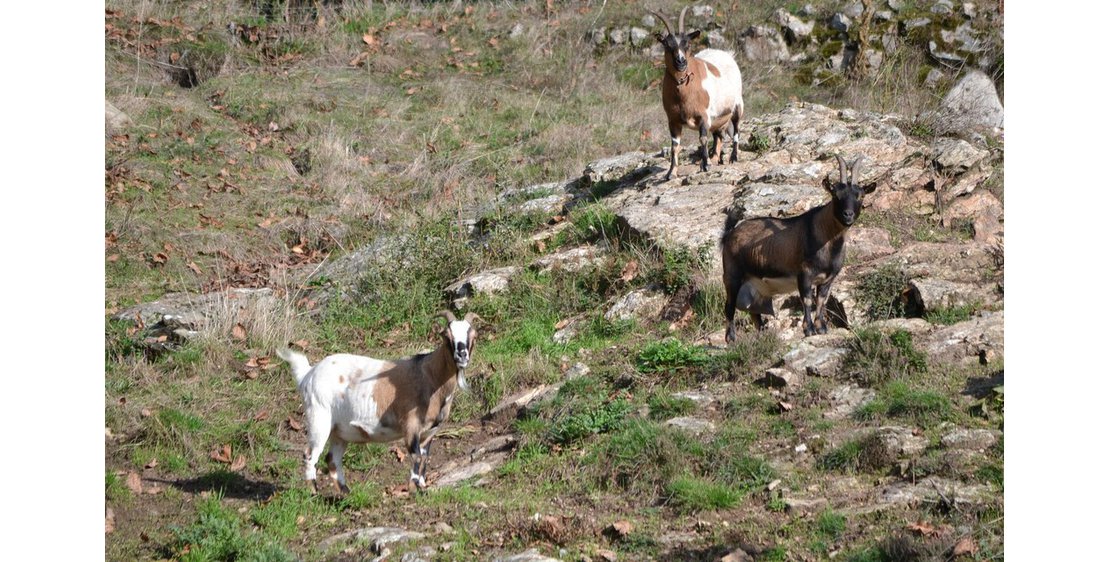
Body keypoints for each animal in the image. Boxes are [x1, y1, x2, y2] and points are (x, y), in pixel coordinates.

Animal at [277, 310, 477, 490]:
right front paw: (413, 490)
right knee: (310, 455)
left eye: (473, 335)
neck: (429, 375)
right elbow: (416, 457)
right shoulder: (411, 426)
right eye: (447, 336)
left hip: (339, 430)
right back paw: (314, 493)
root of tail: (308, 374)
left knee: (332, 459)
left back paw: (345, 493)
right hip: (319, 417)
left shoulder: (430, 432)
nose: (462, 355)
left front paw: (422, 487)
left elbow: (425, 458)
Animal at [648, 7, 745, 181]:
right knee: (719, 135)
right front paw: (671, 173)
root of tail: (728, 55)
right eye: (667, 44)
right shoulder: (673, 120)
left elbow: (703, 138)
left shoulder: (703, 116)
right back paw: (715, 158)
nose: (681, 62)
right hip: (719, 117)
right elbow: (675, 146)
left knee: (736, 129)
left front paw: (705, 165)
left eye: (687, 43)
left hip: (737, 105)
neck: (683, 94)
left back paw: (732, 157)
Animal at [719, 152, 874, 337]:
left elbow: (821, 300)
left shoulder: (828, 279)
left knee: (755, 314)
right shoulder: (804, 274)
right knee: (729, 307)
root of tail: (729, 235)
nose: (848, 215)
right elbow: (807, 300)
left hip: (755, 288)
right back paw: (731, 338)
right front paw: (809, 329)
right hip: (732, 276)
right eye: (836, 195)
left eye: (861, 196)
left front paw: (821, 328)